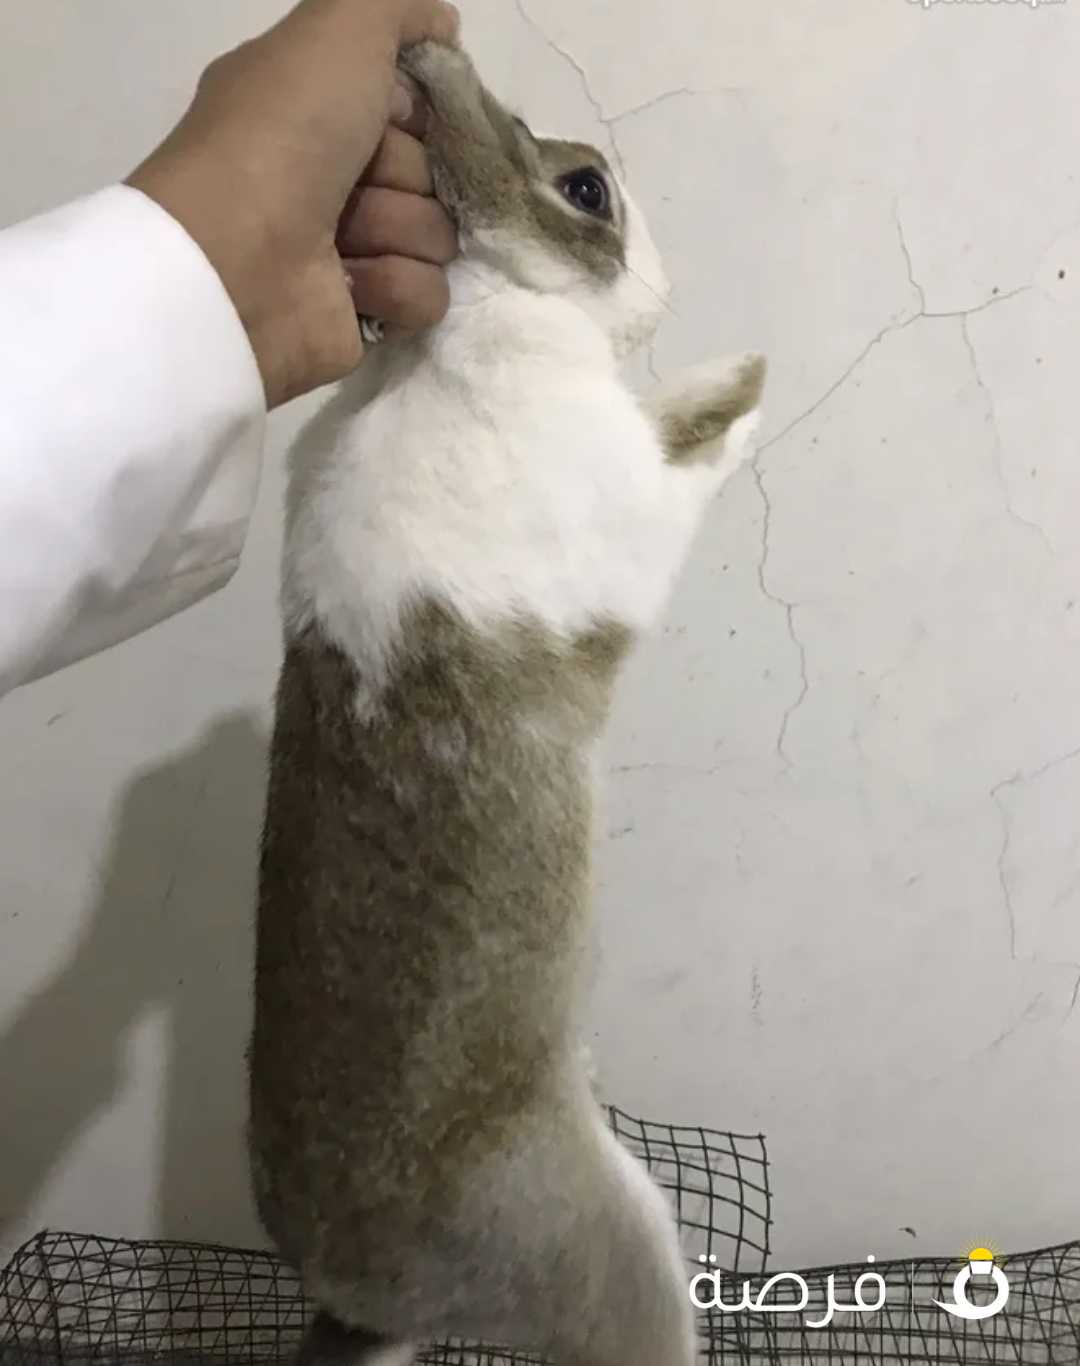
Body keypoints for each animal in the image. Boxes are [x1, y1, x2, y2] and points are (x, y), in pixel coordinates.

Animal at [248, 38, 766, 1366]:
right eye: (586, 189)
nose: (664, 289)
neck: (483, 308)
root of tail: (365, 1285)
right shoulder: (634, 499)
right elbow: (689, 451)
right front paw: (744, 382)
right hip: (620, 1249)